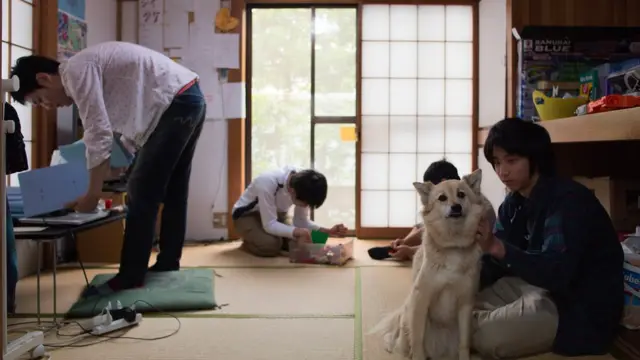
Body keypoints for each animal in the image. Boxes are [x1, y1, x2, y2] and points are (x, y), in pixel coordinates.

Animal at [368, 170, 492, 360]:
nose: (456, 207)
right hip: (407, 316)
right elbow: (417, 341)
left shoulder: (466, 303)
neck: (453, 245)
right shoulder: (421, 299)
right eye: (442, 198)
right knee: (401, 343)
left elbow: (464, 345)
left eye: (461, 194)